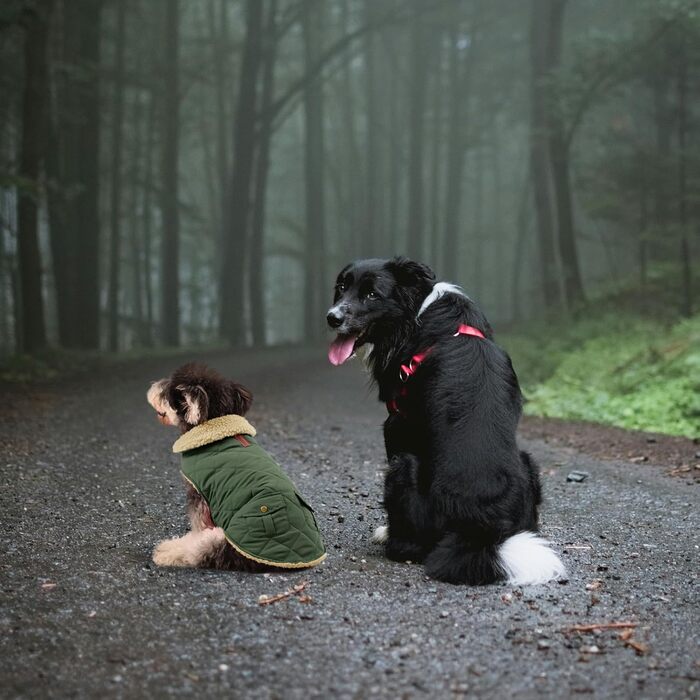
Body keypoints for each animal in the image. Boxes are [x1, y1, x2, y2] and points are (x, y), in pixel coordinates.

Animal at [146, 364, 326, 572]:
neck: (215, 427)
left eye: (166, 392)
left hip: (230, 541)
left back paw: (166, 551)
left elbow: (198, 527)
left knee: (200, 551)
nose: (153, 386)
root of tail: (297, 562)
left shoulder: (199, 495)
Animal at [326, 258, 564, 584]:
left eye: (372, 294)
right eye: (341, 287)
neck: (418, 311)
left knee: (408, 546)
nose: (332, 318)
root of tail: (478, 530)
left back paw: (390, 538)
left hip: (403, 466)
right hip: (528, 462)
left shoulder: (396, 423)